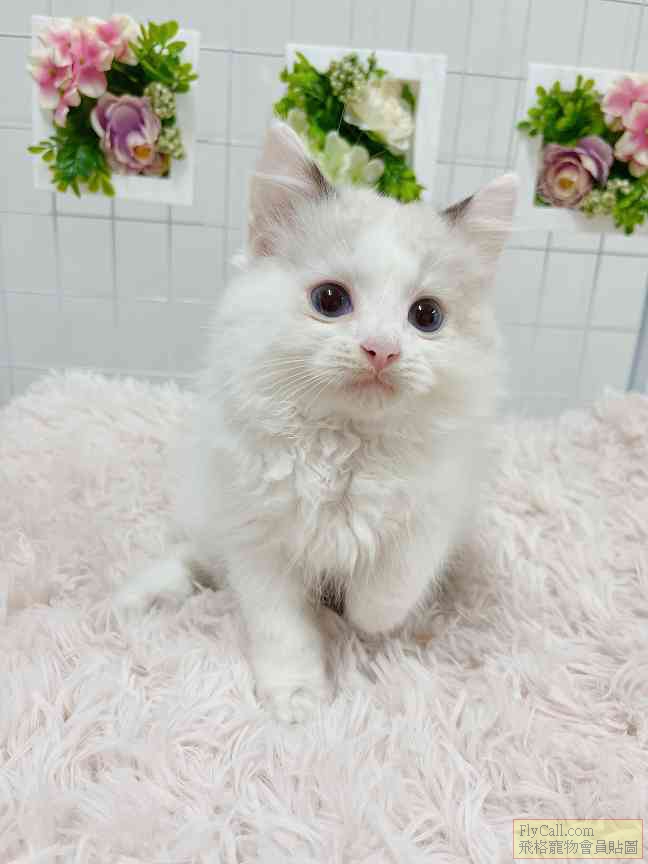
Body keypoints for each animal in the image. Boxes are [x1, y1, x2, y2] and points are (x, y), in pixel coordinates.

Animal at [116, 122, 517, 723]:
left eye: (426, 317)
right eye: (330, 300)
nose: (382, 351)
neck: (344, 447)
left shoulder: (436, 510)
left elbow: (390, 585)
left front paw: (359, 612)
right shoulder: (257, 541)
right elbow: (283, 632)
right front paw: (298, 699)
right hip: (211, 509)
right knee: (198, 561)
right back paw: (137, 598)